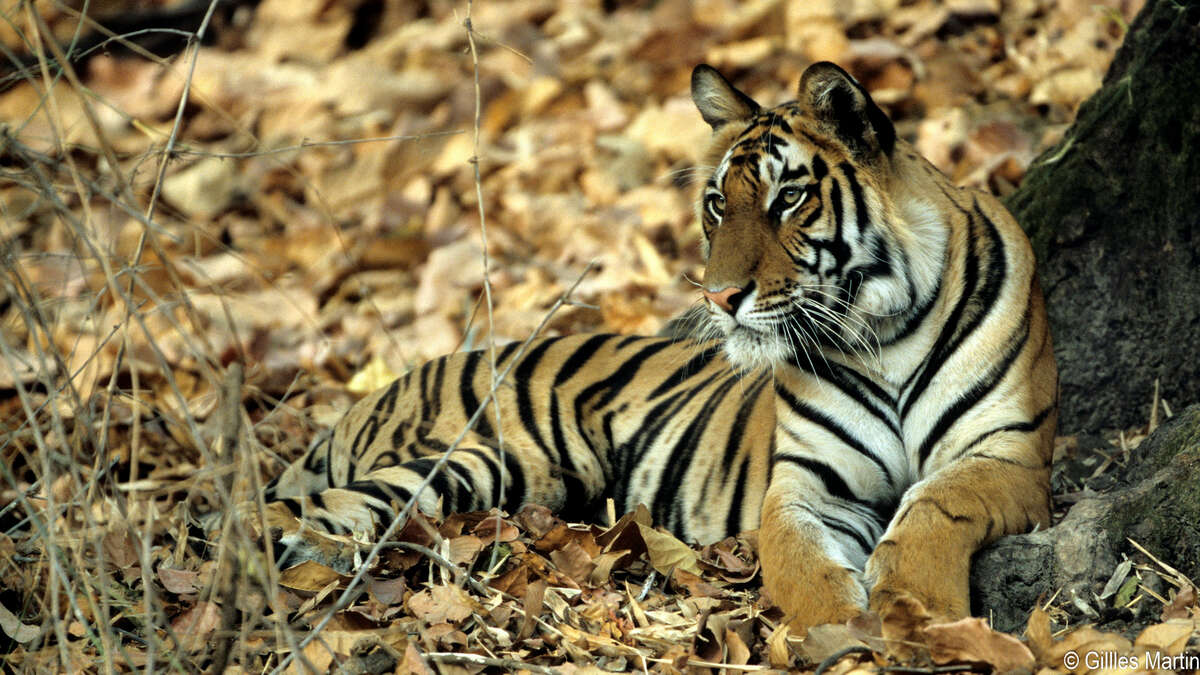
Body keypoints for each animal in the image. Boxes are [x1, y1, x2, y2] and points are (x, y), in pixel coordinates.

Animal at [242, 62, 1057, 633]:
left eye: (788, 198)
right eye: (717, 204)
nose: (720, 297)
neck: (882, 333)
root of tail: (384, 388)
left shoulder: (1008, 454)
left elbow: (936, 504)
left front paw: (916, 608)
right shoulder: (806, 480)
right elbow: (794, 556)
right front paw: (841, 626)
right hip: (475, 458)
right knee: (321, 507)